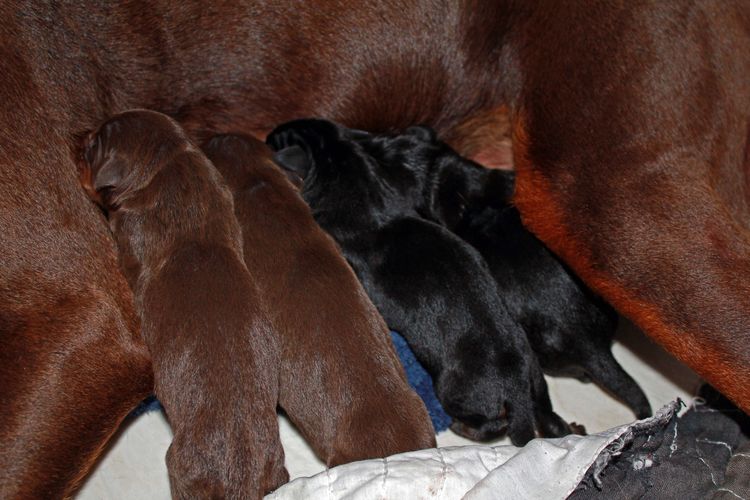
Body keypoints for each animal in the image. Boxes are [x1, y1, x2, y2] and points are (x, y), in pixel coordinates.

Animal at [77, 111, 288, 498]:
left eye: (93, 146)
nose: (78, 139)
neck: (167, 162)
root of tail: (242, 475)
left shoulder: (130, 233)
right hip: (275, 468)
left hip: (182, 469)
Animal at [268, 118, 580, 446]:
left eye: (276, 139)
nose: (266, 136)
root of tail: (516, 383)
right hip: (537, 380)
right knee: (544, 414)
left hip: (457, 393)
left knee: (492, 424)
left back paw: (462, 427)